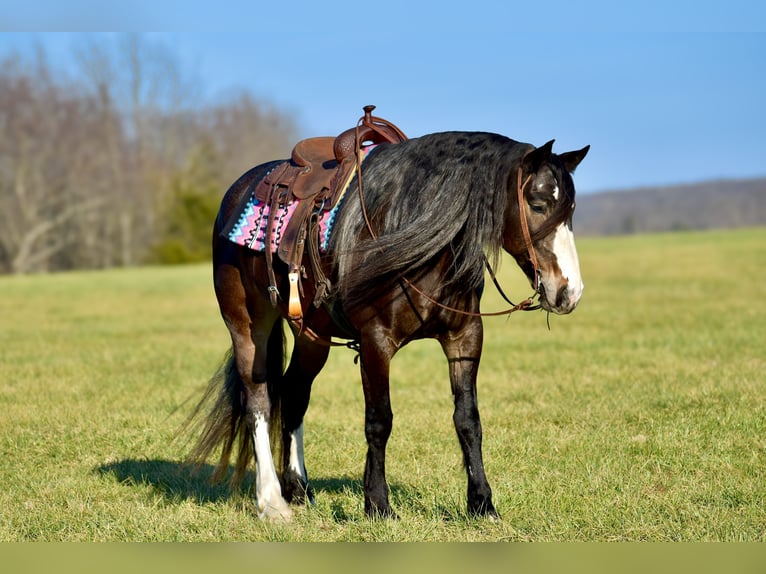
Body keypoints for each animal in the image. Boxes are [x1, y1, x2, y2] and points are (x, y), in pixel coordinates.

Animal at [184, 108, 588, 520]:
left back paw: (298, 488)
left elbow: (468, 420)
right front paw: (377, 503)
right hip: (247, 325)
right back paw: (272, 501)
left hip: (313, 335)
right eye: (537, 202)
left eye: (570, 210)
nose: (568, 292)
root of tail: (236, 194)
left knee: (295, 392)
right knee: (259, 401)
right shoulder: (376, 341)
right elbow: (380, 420)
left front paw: (482, 503)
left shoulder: (465, 337)